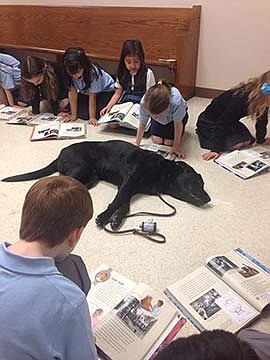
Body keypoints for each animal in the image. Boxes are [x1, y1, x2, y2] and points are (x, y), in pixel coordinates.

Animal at [2, 139, 211, 229]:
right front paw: (103, 217)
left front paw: (117, 220)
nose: (209, 199)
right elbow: (117, 202)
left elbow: (124, 205)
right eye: (198, 182)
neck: (162, 171)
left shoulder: (129, 188)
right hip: (82, 169)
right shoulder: (128, 183)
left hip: (89, 178)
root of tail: (60, 153)